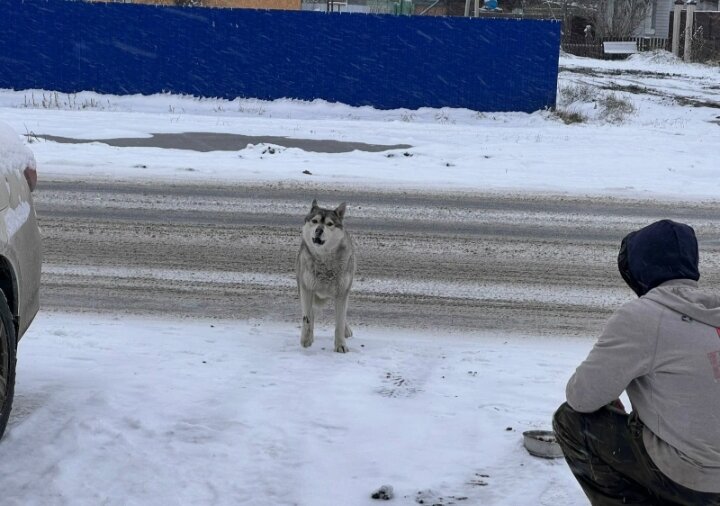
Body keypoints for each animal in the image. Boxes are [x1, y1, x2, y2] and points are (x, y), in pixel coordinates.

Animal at [296, 200, 356, 354]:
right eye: (315, 221)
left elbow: (339, 322)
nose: (319, 230)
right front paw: (306, 340)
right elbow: (307, 317)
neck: (324, 261)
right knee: (310, 313)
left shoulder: (342, 293)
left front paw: (341, 345)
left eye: (329, 224)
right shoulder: (306, 289)